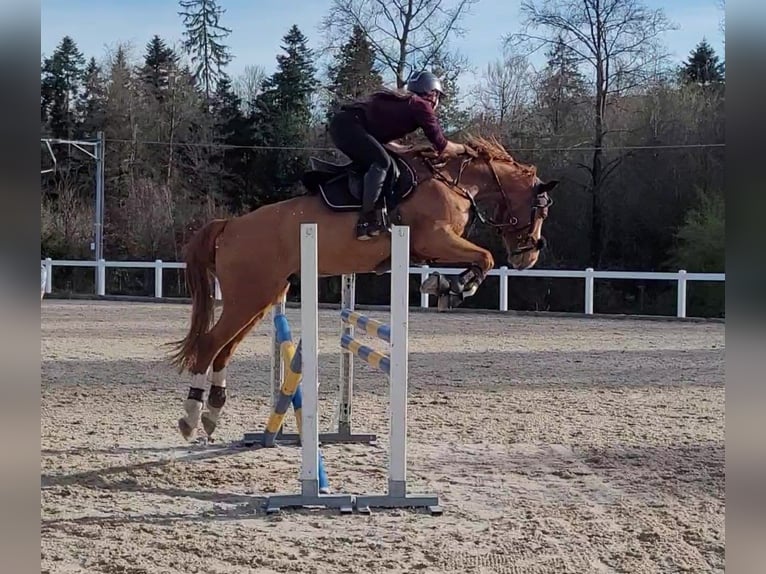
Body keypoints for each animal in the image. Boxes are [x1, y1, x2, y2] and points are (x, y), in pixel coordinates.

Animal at [170, 137, 560, 444]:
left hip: (261, 298)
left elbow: (478, 260)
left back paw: (212, 414)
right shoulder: (435, 238)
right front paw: (456, 286)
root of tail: (230, 225)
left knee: (224, 348)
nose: (529, 256)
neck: (454, 182)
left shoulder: (432, 247)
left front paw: (446, 285)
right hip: (248, 296)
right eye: (540, 211)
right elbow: (486, 257)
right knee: (209, 344)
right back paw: (191, 416)